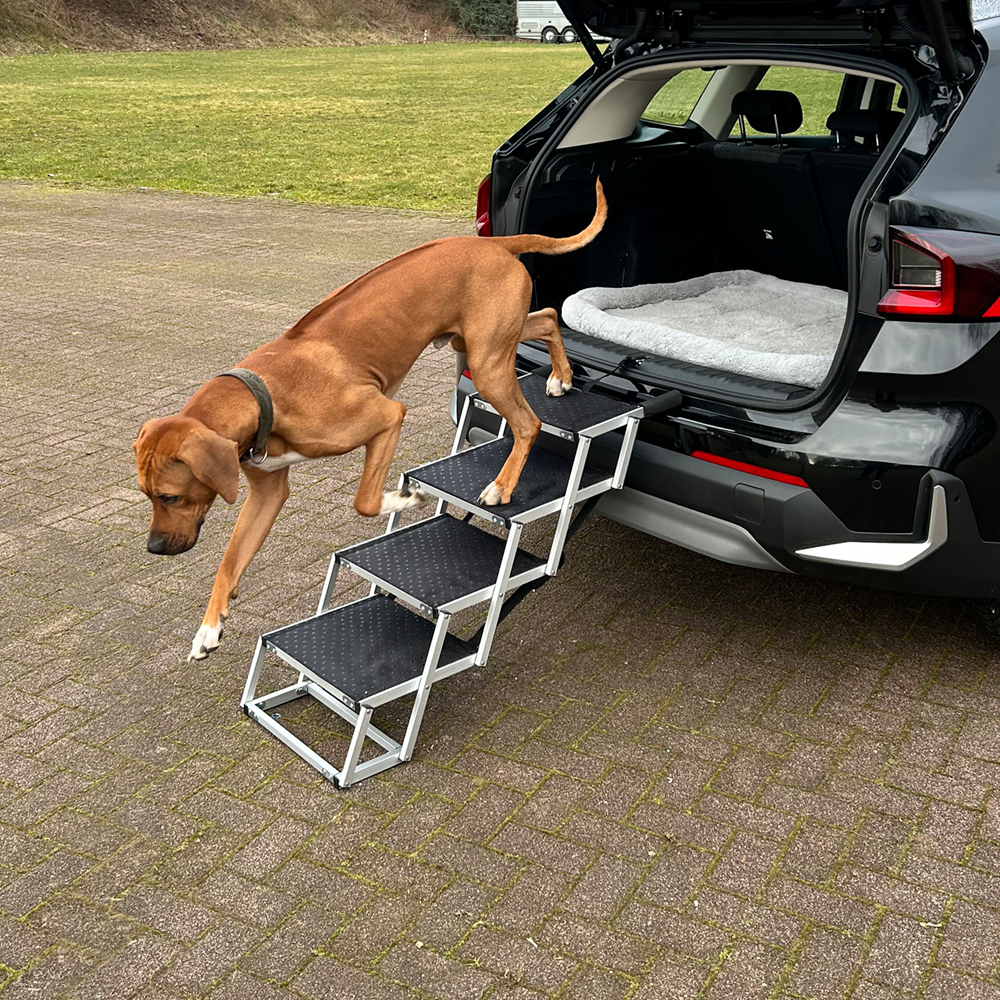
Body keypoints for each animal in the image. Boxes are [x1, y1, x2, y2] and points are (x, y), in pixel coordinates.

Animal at [134, 179, 606, 661]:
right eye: (146, 495)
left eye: (170, 497)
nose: (155, 548)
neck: (261, 396)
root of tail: (492, 244)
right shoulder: (267, 492)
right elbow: (229, 561)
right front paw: (209, 626)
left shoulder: (386, 416)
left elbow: (364, 501)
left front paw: (404, 499)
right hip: (481, 342)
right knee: (548, 317)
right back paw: (561, 377)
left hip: (488, 361)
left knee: (528, 423)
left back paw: (503, 484)